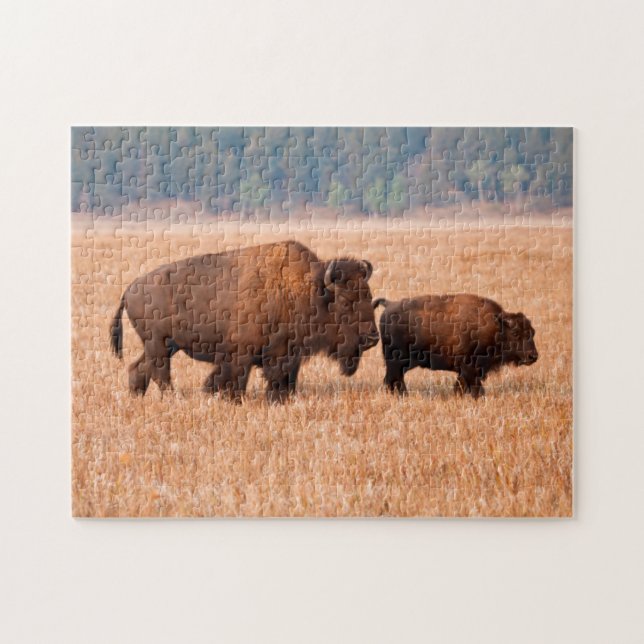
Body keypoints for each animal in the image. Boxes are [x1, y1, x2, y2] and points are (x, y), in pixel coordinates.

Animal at [110, 240, 380, 403]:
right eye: (345, 301)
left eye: (369, 296)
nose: (372, 338)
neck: (309, 291)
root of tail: (130, 289)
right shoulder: (242, 355)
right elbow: (236, 381)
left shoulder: (289, 354)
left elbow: (283, 380)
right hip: (158, 344)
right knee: (160, 373)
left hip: (166, 346)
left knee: (140, 368)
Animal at [373, 294, 538, 397]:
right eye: (515, 333)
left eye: (532, 332)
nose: (533, 356)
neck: (497, 327)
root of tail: (389, 305)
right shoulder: (469, 367)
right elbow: (475, 387)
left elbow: (461, 385)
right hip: (396, 362)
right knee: (393, 379)